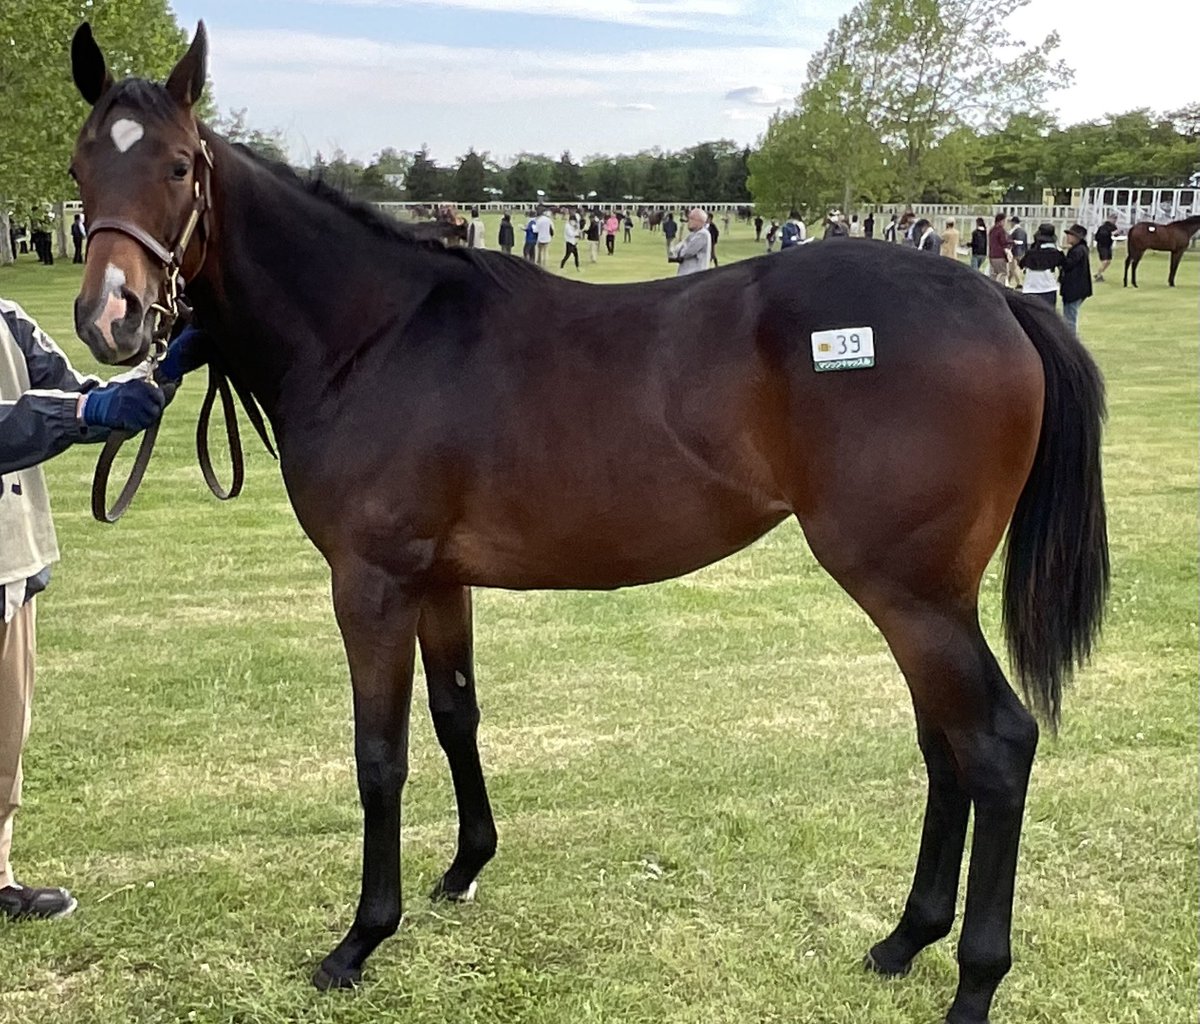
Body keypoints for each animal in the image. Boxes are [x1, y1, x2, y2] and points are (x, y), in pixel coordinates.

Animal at [68, 23, 1109, 1024]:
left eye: (177, 165)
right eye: (80, 169)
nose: (112, 319)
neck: (377, 336)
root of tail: (996, 297)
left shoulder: (371, 585)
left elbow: (379, 756)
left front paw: (361, 938)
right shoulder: (438, 581)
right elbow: (455, 715)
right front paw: (465, 866)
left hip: (909, 591)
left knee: (994, 746)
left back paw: (974, 980)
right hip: (925, 599)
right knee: (946, 745)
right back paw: (905, 939)